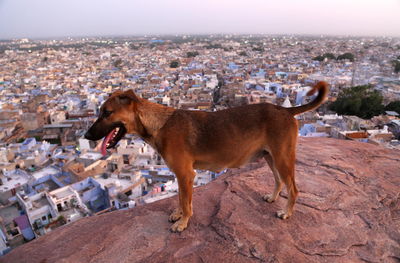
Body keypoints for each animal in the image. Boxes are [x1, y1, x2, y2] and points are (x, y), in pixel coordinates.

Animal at [84, 81, 328, 232]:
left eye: (107, 113)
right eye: (99, 111)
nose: (86, 135)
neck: (158, 124)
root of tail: (286, 110)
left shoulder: (185, 174)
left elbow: (185, 200)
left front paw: (183, 223)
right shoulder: (181, 176)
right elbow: (181, 198)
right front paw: (178, 214)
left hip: (283, 157)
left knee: (294, 188)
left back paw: (286, 213)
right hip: (270, 156)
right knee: (279, 180)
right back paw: (273, 197)